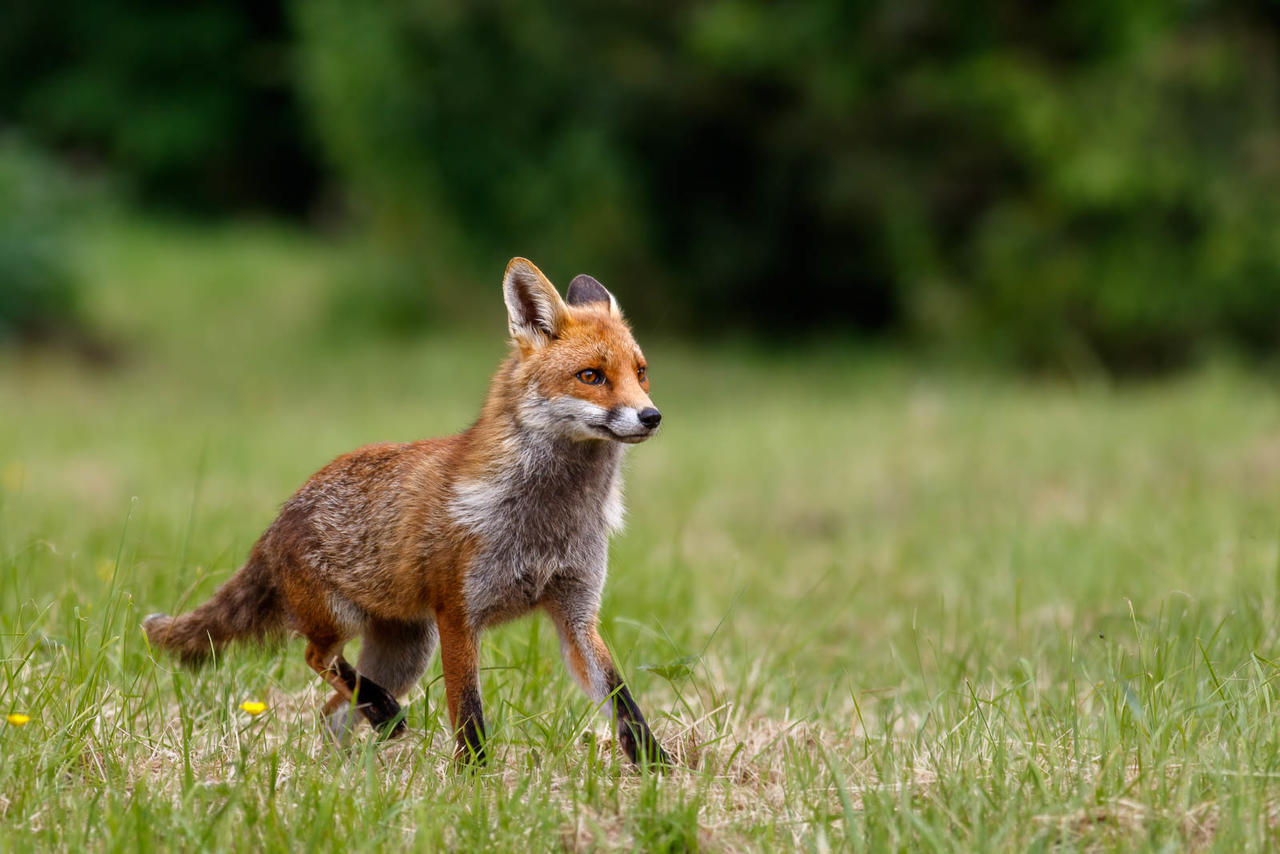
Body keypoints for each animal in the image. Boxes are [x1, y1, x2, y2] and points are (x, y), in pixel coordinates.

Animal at [145, 258, 675, 768]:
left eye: (641, 372)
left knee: (331, 711)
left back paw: (349, 758)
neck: (550, 520)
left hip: (406, 654)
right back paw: (376, 716)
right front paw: (474, 776)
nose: (651, 417)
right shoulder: (458, 614)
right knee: (317, 657)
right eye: (591, 376)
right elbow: (468, 709)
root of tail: (279, 519)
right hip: (347, 623)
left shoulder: (576, 615)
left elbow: (622, 698)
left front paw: (657, 766)